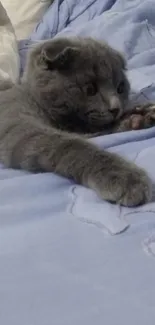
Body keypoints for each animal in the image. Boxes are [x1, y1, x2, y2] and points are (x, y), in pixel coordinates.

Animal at [0, 37, 151, 205]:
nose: (116, 108)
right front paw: (126, 177)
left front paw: (139, 116)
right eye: (90, 89)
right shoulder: (18, 124)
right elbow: (72, 144)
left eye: (120, 89)